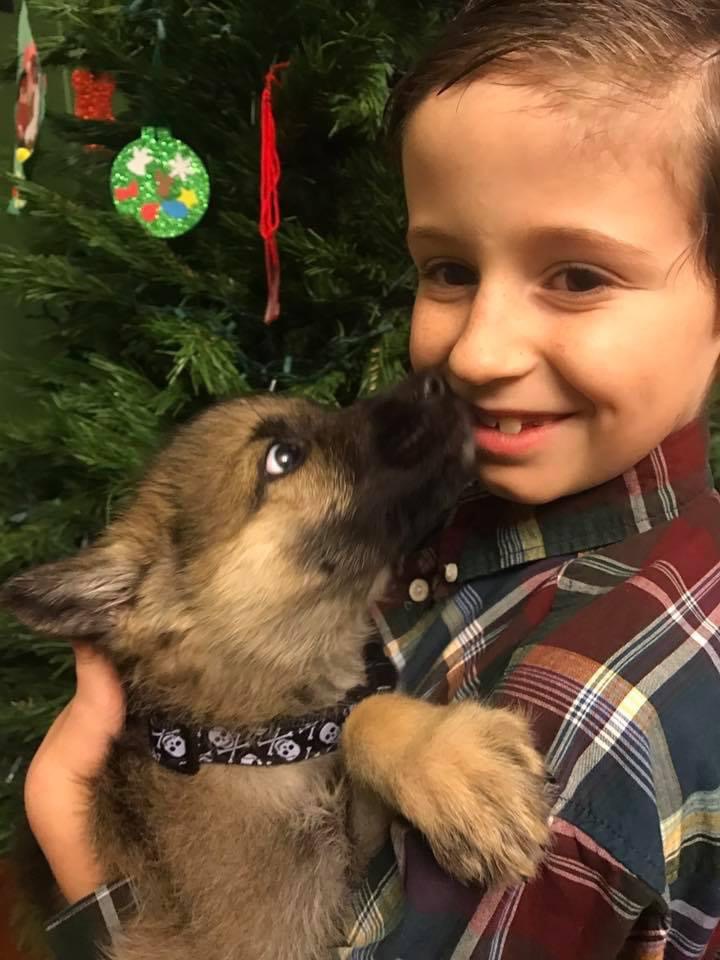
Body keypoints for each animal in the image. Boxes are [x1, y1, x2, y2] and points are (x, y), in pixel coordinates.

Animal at [2, 372, 549, 960]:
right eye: (283, 457)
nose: (438, 380)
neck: (252, 745)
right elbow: (356, 715)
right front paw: (454, 767)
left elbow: (361, 714)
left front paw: (447, 762)